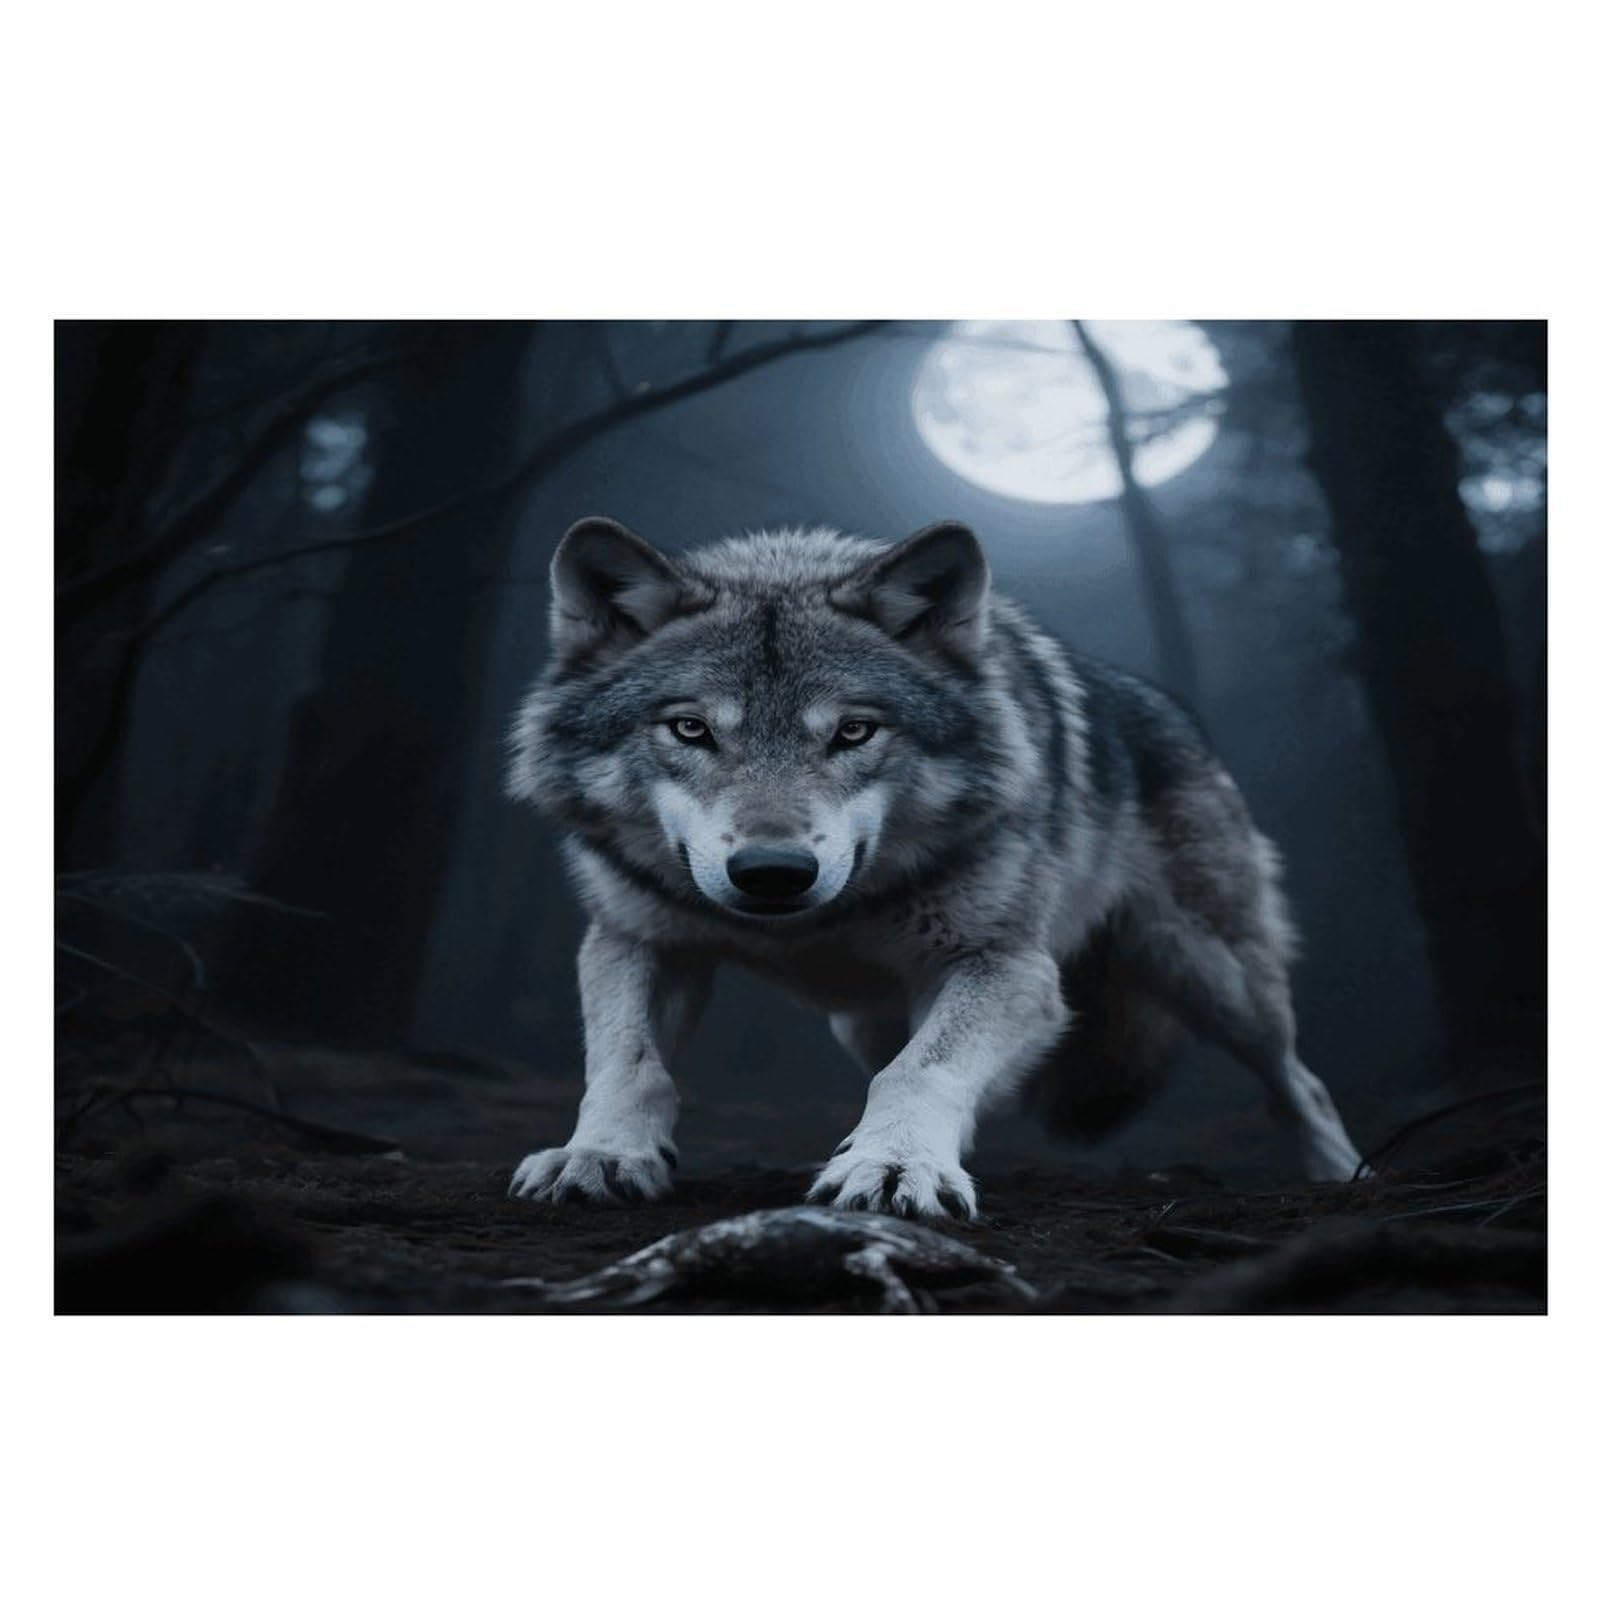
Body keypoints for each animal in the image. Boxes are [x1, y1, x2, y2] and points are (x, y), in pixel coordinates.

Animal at [505, 517, 1365, 1220]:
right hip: (867, 1019)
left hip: (1211, 975)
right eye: (690, 729)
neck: (814, 925)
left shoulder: (1008, 967)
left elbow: (920, 1073)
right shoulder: (637, 939)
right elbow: (629, 1064)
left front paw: (894, 1167)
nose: (773, 871)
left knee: (1303, 1084)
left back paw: (1345, 1176)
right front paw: (601, 1154)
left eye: (854, 732)